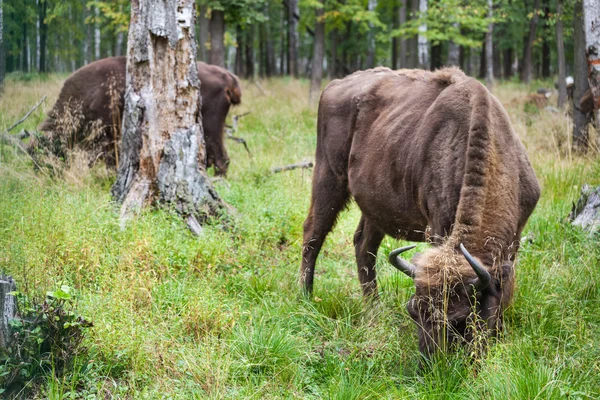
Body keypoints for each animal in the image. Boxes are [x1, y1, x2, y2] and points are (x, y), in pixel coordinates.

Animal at [35, 56, 239, 175]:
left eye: (47, 151)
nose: (45, 175)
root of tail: (227, 77)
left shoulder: (109, 139)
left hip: (211, 127)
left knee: (221, 159)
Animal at [302, 66, 540, 356]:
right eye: (414, 312)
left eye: (459, 319)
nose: (429, 360)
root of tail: (334, 85)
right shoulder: (438, 227)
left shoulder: (514, 238)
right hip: (328, 178)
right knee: (313, 234)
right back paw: (306, 297)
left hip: (374, 206)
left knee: (363, 245)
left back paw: (373, 307)